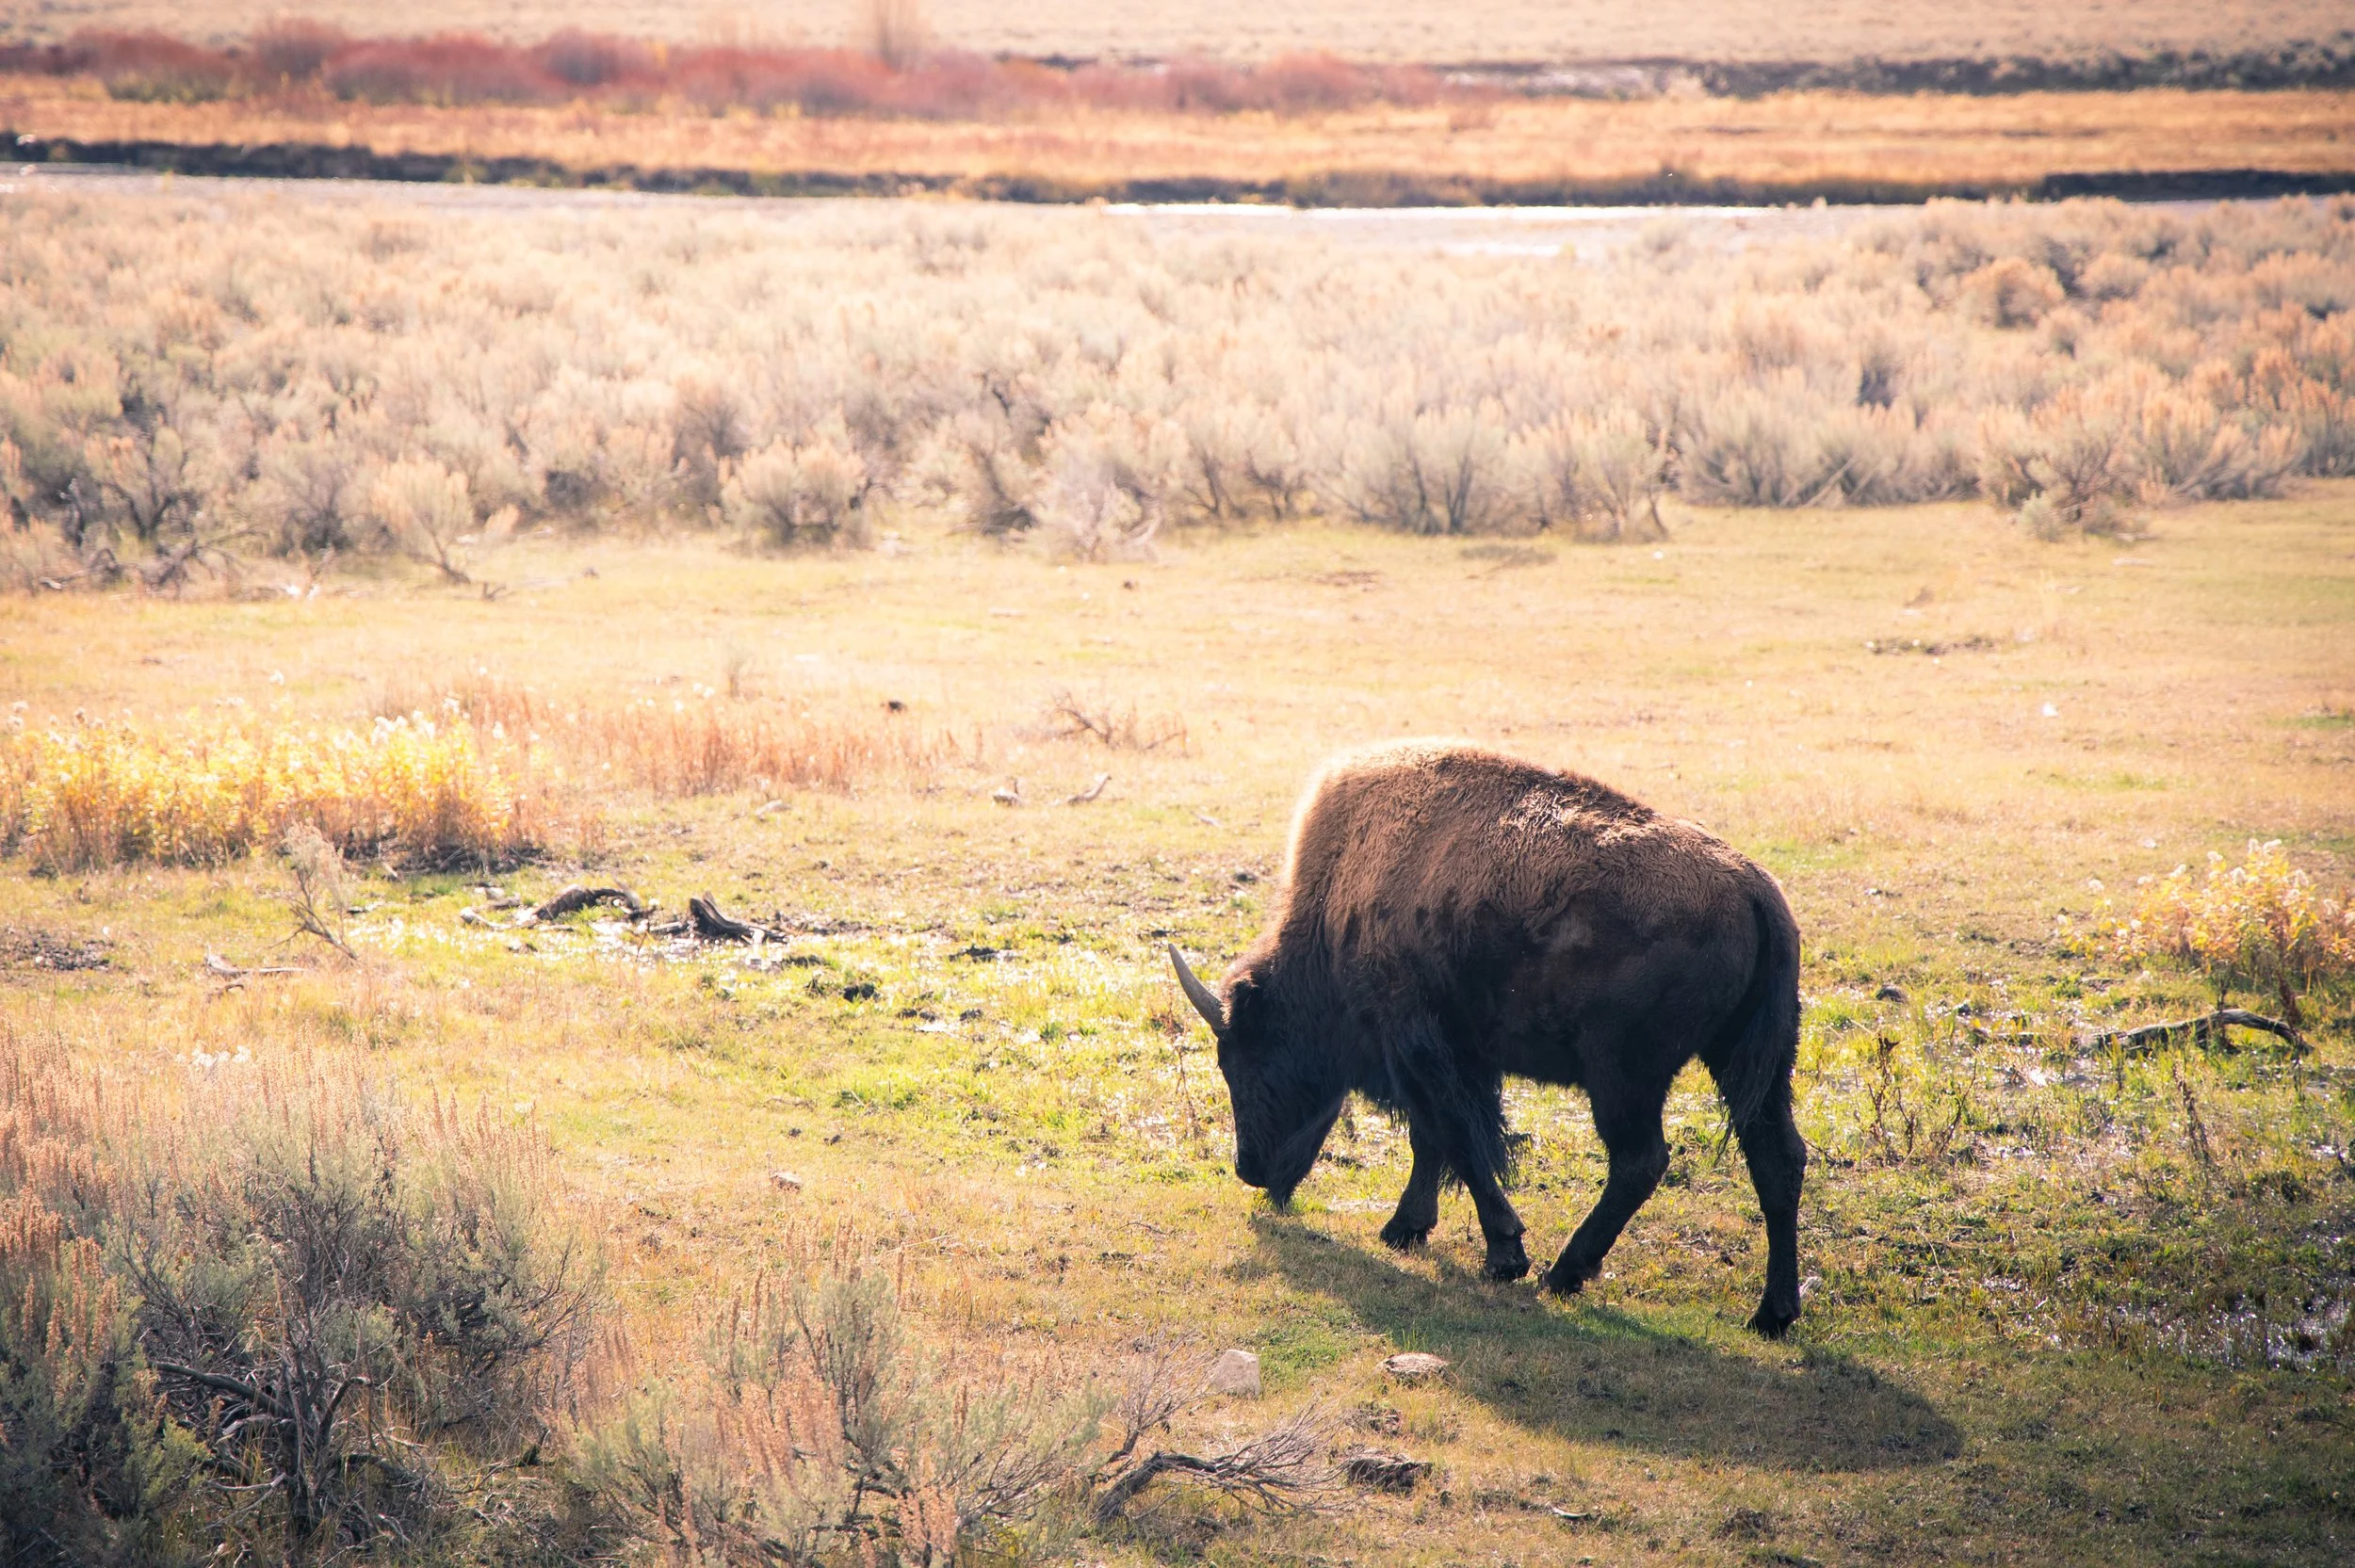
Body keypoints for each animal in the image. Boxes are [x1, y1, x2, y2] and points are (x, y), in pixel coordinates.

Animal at [1170, 741, 1807, 1336]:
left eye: (1249, 1057)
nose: (1250, 1169)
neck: (1337, 900)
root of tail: (1756, 890)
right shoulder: (1450, 1057)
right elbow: (1432, 1139)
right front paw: (1405, 1229)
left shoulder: (1423, 1047)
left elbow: (1461, 1138)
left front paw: (1504, 1254)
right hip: (1752, 1063)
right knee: (1776, 1159)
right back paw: (1771, 1314)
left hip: (1625, 1075)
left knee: (1641, 1160)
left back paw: (1562, 1273)